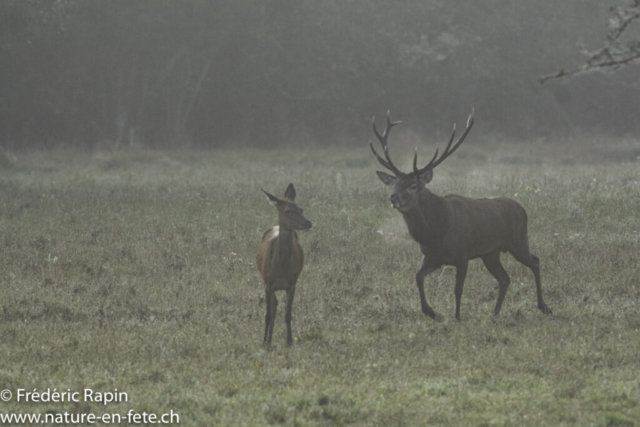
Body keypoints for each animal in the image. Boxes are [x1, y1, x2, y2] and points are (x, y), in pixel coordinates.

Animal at [257, 184, 312, 346]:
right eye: (287, 211)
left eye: (301, 209)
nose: (308, 223)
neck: (281, 268)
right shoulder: (268, 282)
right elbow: (268, 314)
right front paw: (264, 341)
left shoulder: (292, 283)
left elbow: (288, 314)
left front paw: (289, 341)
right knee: (274, 306)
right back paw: (268, 339)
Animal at [369, 110, 552, 321]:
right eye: (395, 184)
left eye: (413, 186)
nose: (393, 197)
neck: (435, 232)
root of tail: (522, 209)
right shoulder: (432, 257)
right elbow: (418, 277)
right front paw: (431, 311)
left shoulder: (462, 255)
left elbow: (458, 289)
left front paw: (457, 317)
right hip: (491, 253)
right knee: (505, 278)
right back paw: (495, 313)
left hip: (518, 241)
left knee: (535, 262)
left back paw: (544, 306)